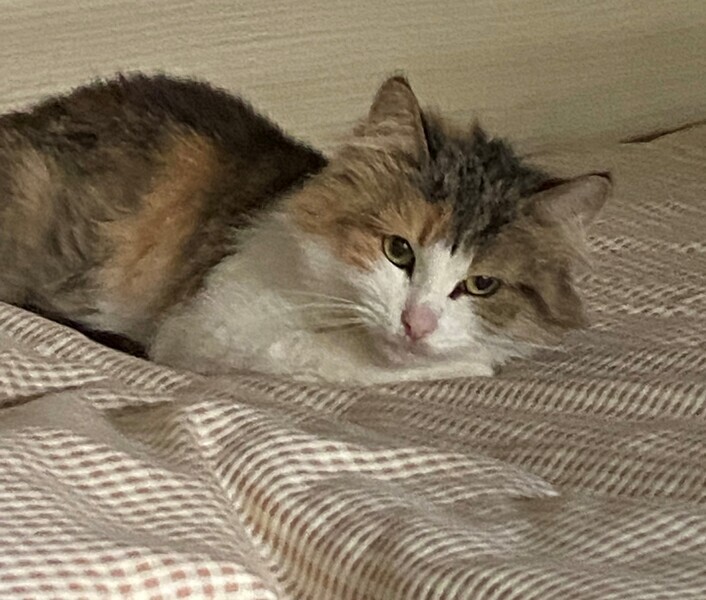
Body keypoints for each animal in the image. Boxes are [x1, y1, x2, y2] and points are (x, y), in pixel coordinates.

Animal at [0, 73, 611, 384]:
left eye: (482, 284)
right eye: (398, 250)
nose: (415, 324)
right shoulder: (211, 329)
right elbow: (351, 364)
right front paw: (472, 363)